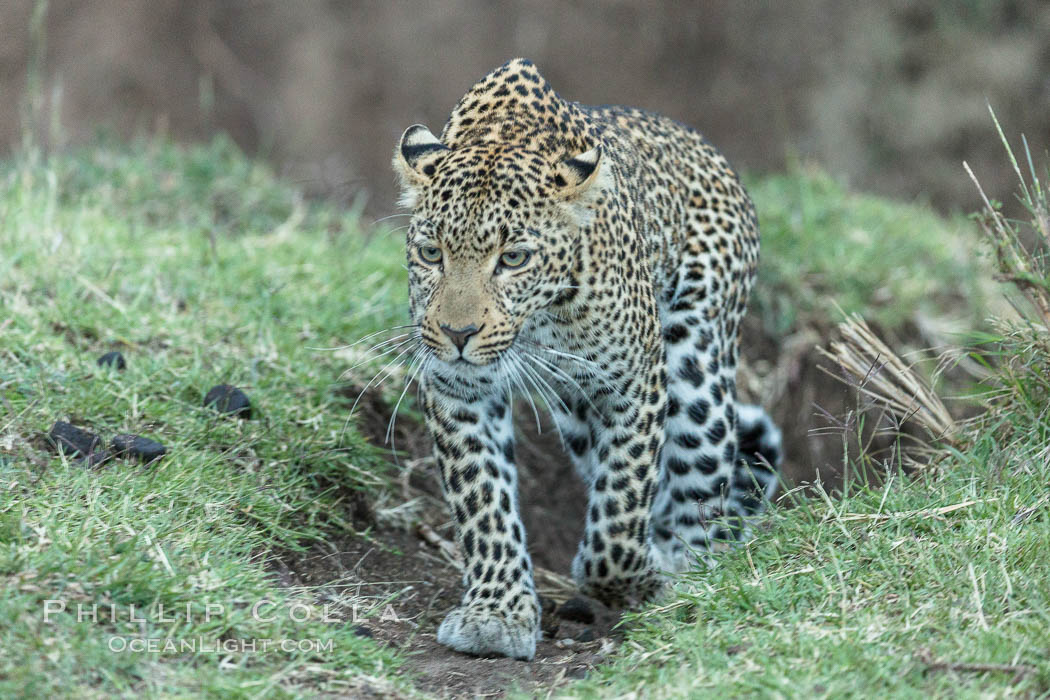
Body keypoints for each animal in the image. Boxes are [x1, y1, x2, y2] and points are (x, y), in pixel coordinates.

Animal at [388, 57, 781, 659]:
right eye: (432, 253)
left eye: (514, 258)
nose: (458, 333)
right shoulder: (459, 389)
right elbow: (483, 500)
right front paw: (496, 614)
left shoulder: (635, 384)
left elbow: (621, 506)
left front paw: (639, 576)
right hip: (574, 410)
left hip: (697, 363)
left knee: (702, 480)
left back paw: (692, 570)